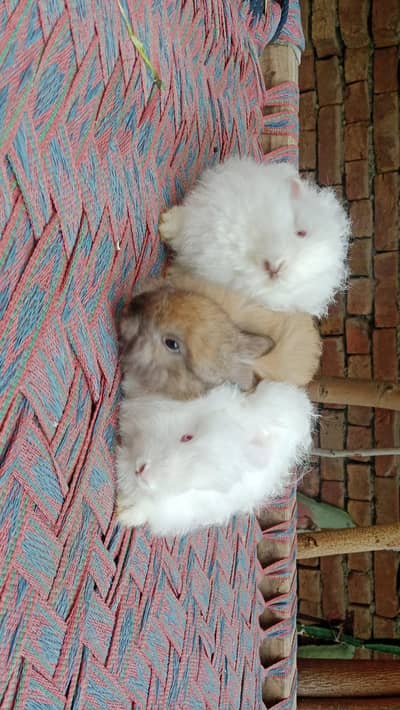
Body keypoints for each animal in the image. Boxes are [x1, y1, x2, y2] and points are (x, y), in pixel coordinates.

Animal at [159, 156, 350, 318]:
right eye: (301, 232)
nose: (276, 269)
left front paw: (170, 275)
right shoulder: (205, 219)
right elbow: (182, 225)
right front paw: (164, 225)